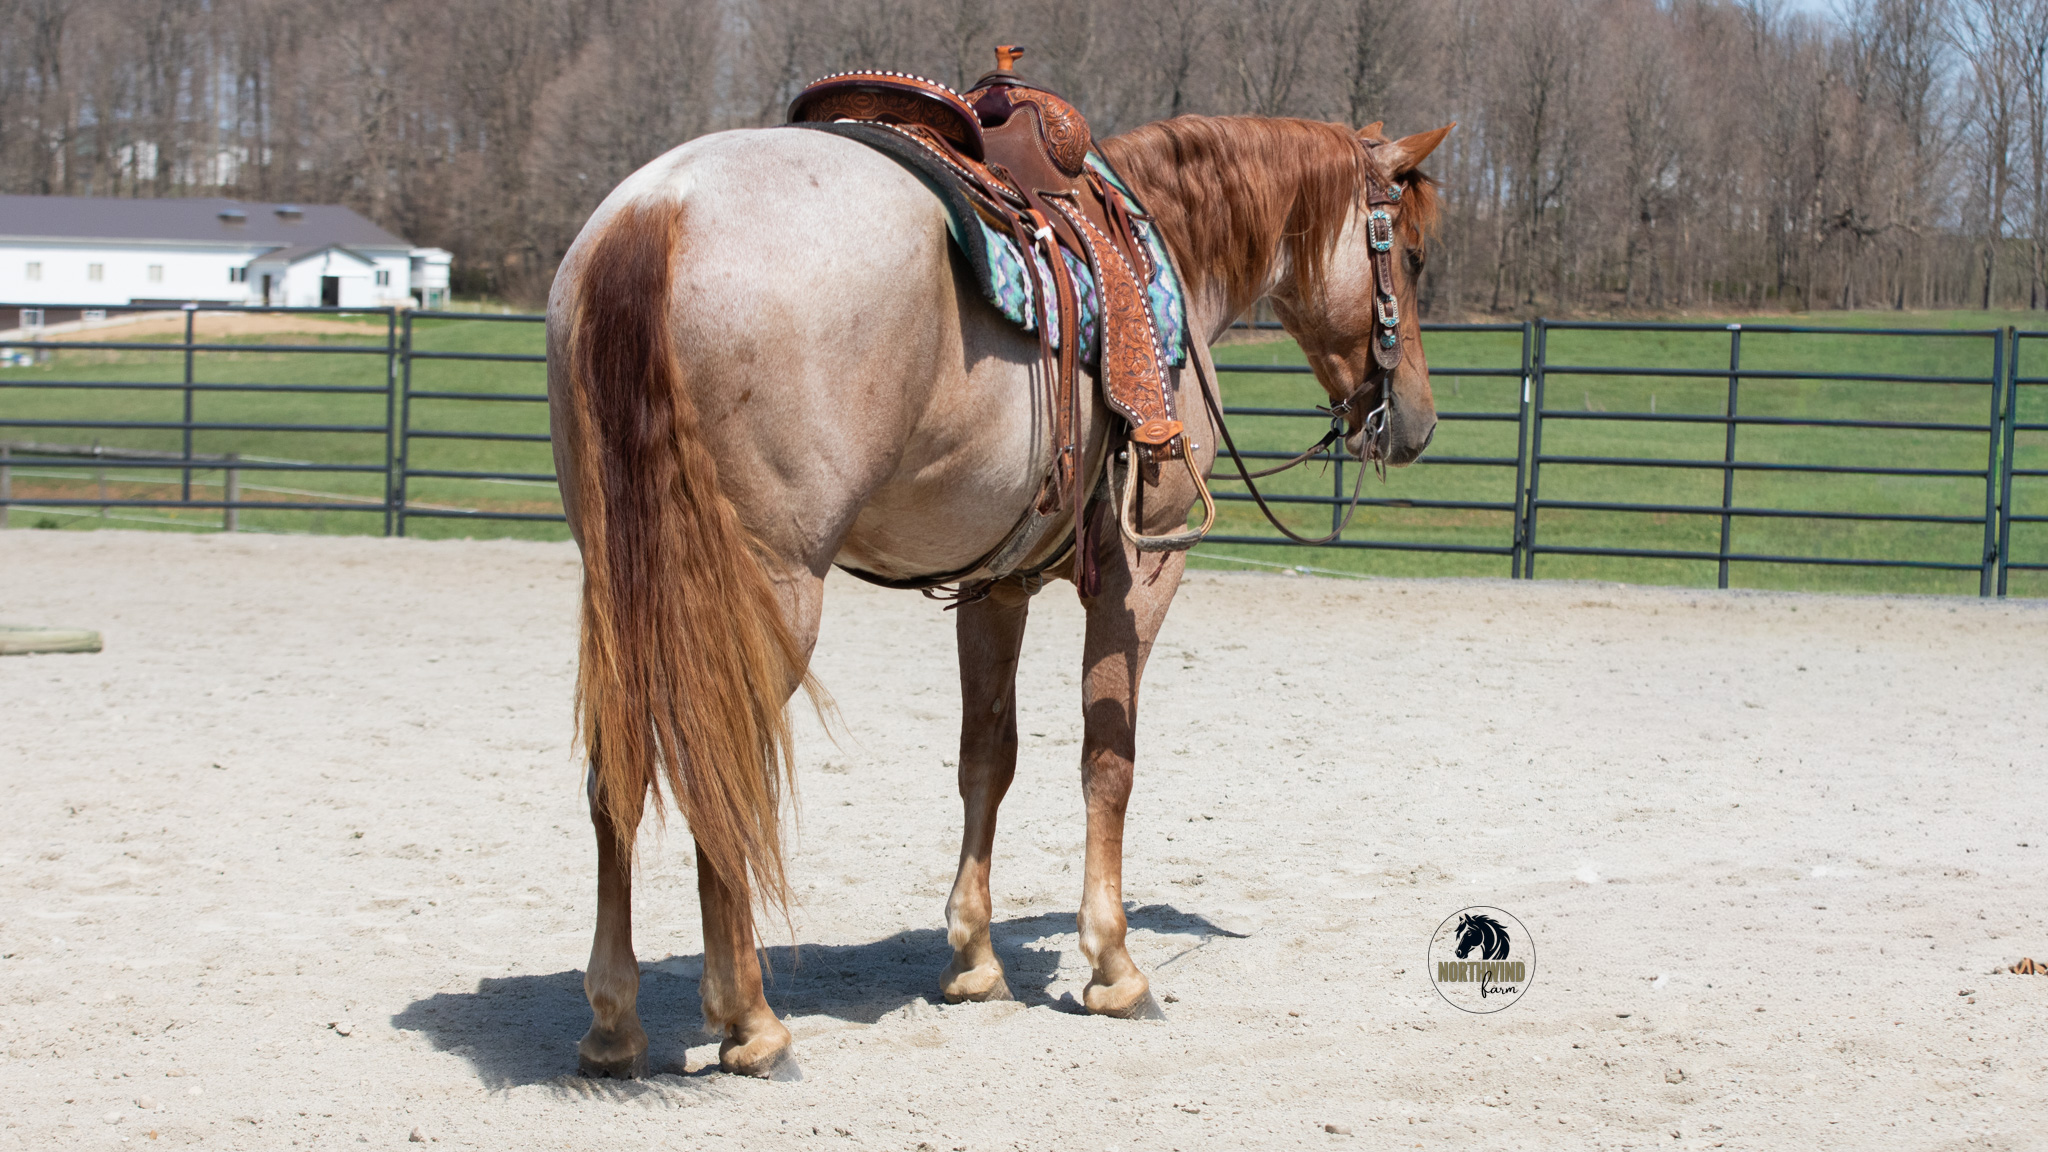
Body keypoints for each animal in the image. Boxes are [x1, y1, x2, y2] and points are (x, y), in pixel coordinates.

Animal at [545, 112, 1451, 1079]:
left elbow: (987, 758)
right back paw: (751, 1022)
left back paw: (613, 1023)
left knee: (614, 776)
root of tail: (657, 211)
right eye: (1415, 256)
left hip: (627, 584)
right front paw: (1114, 965)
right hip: (764, 595)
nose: (1416, 421)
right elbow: (1108, 757)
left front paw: (974, 959)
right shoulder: (1144, 569)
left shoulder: (995, 586)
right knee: (719, 767)